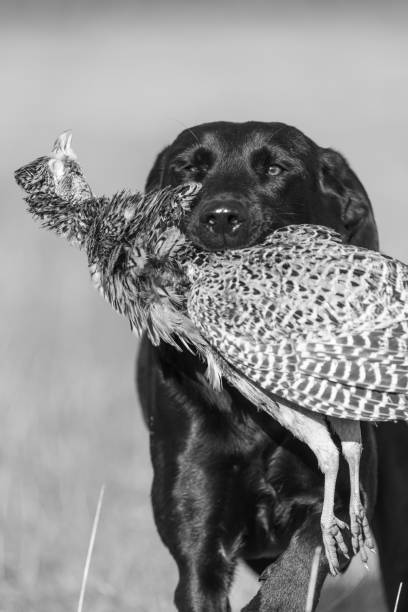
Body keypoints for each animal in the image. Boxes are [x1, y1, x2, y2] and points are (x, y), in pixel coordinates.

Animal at [137, 122, 408, 608]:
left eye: (276, 168)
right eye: (188, 168)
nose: (221, 217)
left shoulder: (344, 488)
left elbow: (310, 549)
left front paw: (276, 597)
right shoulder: (196, 539)